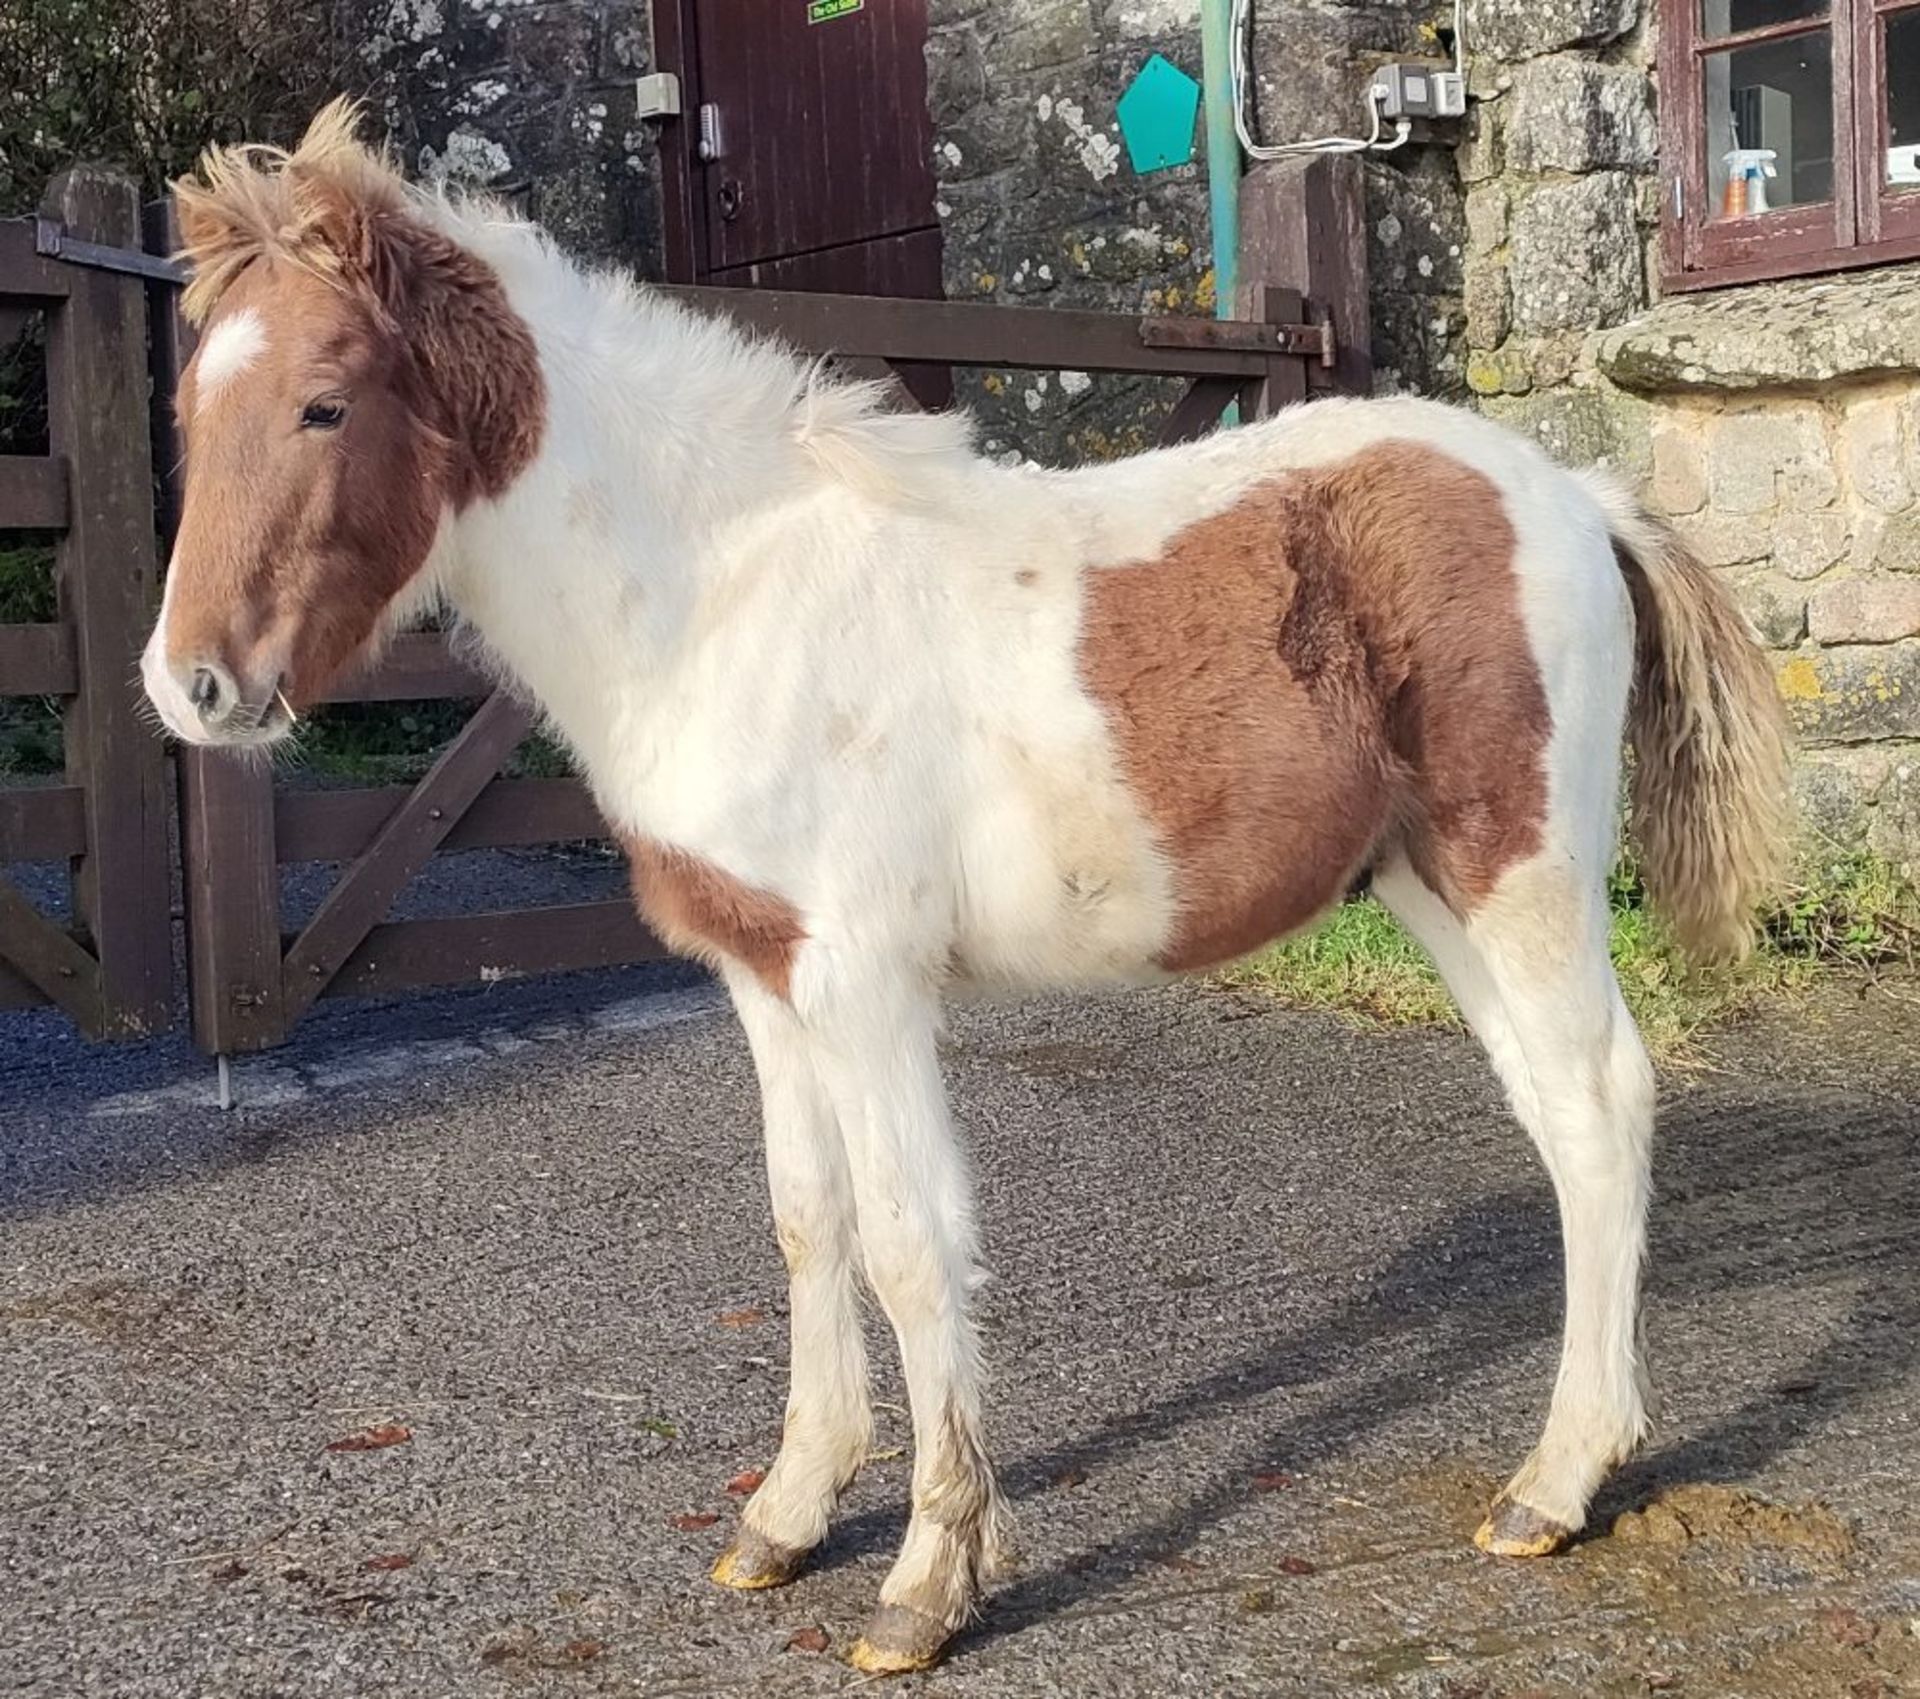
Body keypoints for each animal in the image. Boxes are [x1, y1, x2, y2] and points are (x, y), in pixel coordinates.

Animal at [142, 102, 1790, 1673]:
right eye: (189, 406)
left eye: (324, 400)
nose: (190, 687)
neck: (723, 595)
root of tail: (1576, 491)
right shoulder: (764, 974)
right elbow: (805, 1218)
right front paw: (787, 1511)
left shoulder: (864, 978)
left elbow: (909, 1241)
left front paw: (929, 1580)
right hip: (1435, 888)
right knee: (1561, 1117)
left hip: (1521, 869)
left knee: (1604, 1097)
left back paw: (1558, 1481)